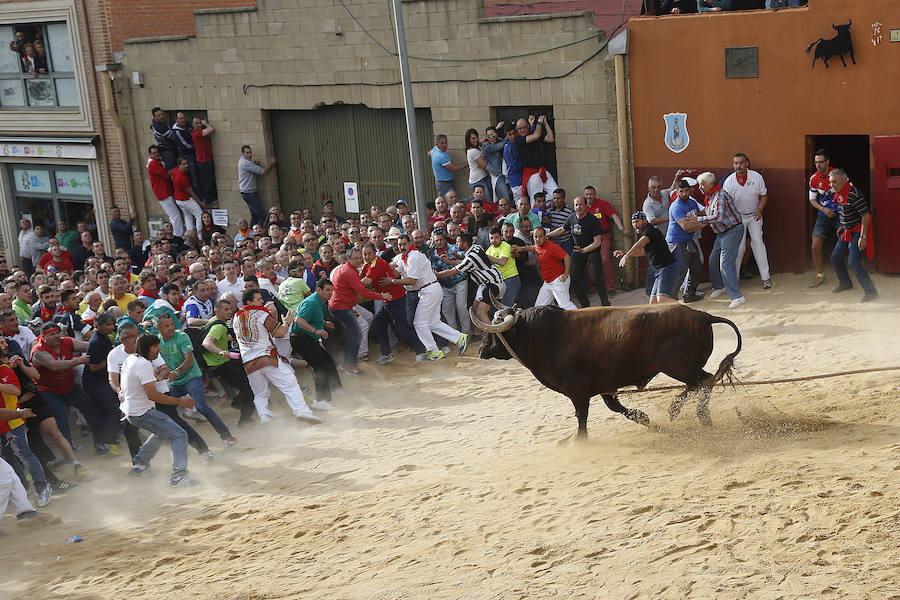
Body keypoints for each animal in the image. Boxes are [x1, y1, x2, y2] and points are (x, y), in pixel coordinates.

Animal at [472, 302, 740, 434]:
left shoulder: (578, 393)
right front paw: (647, 420)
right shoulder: (604, 387)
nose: (481, 350)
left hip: (679, 366)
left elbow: (582, 419)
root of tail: (701, 315)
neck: (543, 336)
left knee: (705, 380)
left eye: (496, 331)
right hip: (682, 368)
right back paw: (678, 410)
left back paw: (697, 414)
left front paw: (580, 442)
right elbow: (618, 408)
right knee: (700, 382)